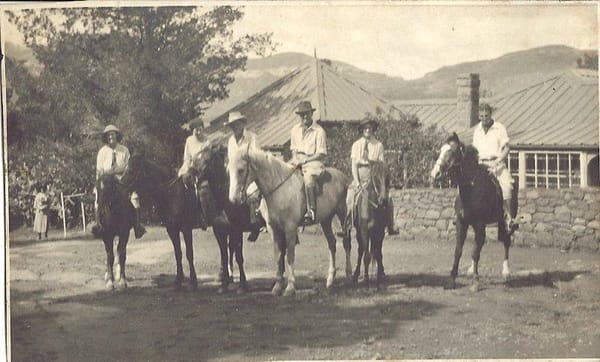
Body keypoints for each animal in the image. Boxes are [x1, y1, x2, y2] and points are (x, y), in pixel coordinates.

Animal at [120, 154, 203, 290]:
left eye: (132, 170)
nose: (120, 185)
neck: (172, 195)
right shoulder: (172, 230)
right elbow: (178, 253)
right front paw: (178, 281)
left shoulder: (186, 229)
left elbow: (189, 254)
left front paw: (193, 282)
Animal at [189, 145, 262, 294]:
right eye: (196, 156)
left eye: (207, 159)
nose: (191, 173)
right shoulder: (220, 231)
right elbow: (224, 256)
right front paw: (224, 284)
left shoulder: (236, 231)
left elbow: (239, 257)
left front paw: (242, 285)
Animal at [230, 147, 352, 296]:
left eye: (241, 170)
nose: (234, 199)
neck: (279, 190)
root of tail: (343, 177)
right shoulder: (273, 229)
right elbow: (278, 256)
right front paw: (277, 287)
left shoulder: (290, 228)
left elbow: (290, 256)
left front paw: (290, 287)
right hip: (326, 220)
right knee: (332, 244)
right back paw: (330, 280)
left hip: (342, 214)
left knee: (346, 243)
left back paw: (349, 276)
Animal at [432, 134, 516, 292]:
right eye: (441, 150)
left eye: (453, 152)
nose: (435, 174)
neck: (472, 188)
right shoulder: (462, 223)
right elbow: (459, 251)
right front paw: (452, 279)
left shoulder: (480, 224)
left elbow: (476, 253)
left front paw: (475, 282)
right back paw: (471, 270)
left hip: (505, 222)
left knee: (506, 242)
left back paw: (506, 272)